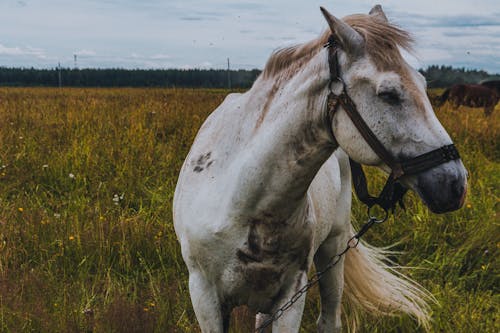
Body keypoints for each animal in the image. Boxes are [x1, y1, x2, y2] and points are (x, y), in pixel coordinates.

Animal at [174, 5, 466, 332]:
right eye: (389, 94)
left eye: (424, 85)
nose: (456, 184)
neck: (239, 198)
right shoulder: (204, 296)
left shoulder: (292, 293)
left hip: (333, 248)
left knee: (329, 319)